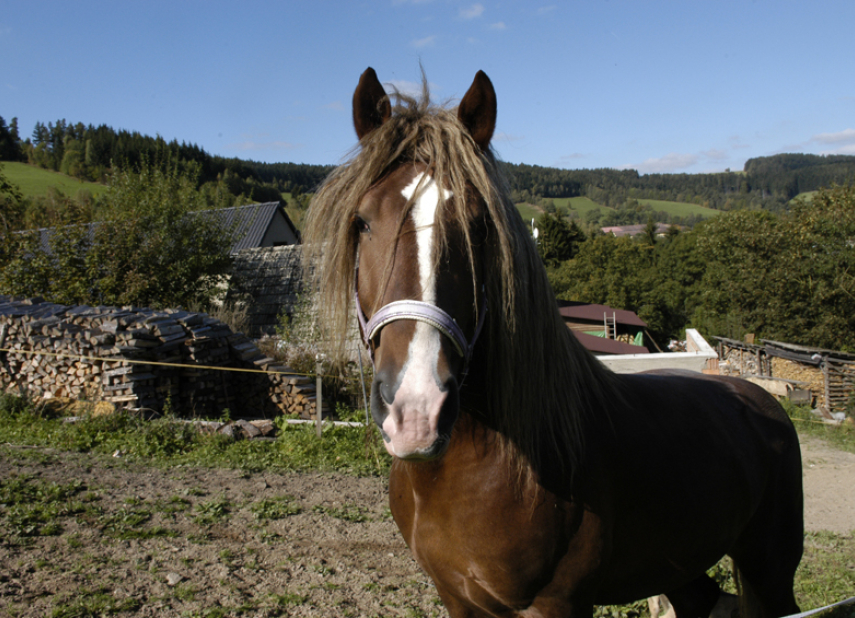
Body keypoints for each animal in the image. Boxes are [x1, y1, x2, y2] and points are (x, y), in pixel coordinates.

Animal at [304, 67, 804, 616]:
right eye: (362, 222)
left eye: (480, 227)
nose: (416, 410)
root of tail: (757, 395)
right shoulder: (457, 598)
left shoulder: (557, 604)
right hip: (684, 569)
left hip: (770, 571)